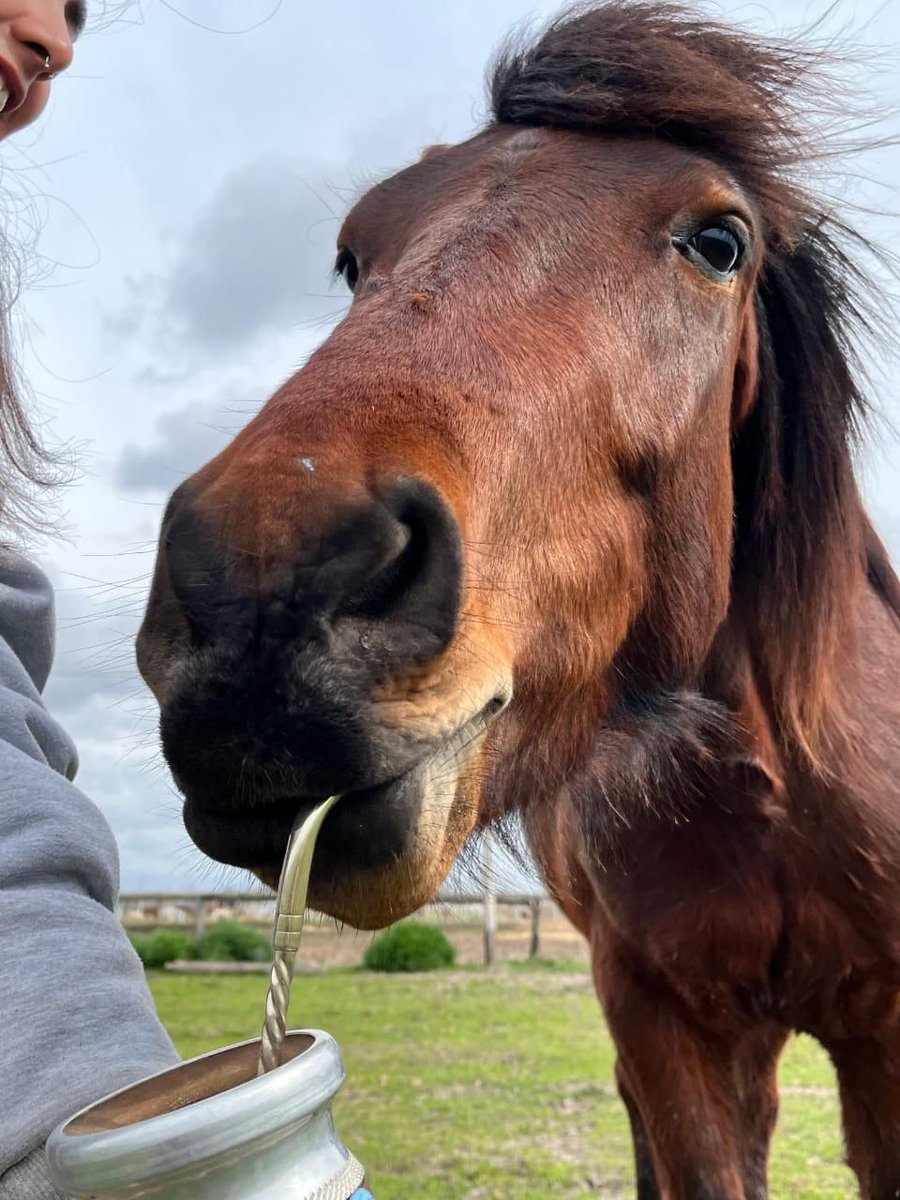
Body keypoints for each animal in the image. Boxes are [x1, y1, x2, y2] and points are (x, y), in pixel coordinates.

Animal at [137, 4, 900, 1196]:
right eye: (353, 256)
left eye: (719, 243)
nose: (259, 594)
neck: (777, 785)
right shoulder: (666, 1022)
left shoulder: (884, 1038)